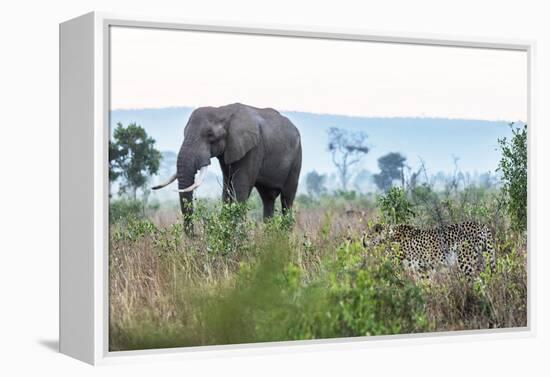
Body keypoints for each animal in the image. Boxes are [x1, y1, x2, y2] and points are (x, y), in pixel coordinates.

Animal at [153, 103, 304, 223]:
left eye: (210, 135)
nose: (193, 237)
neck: (223, 111)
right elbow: (227, 188)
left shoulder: (254, 148)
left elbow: (240, 188)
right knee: (268, 199)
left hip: (297, 157)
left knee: (287, 199)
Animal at [364, 219, 498, 278]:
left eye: (369, 235)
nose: (364, 243)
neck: (390, 236)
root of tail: (480, 224)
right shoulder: (422, 269)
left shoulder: (400, 267)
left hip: (466, 262)